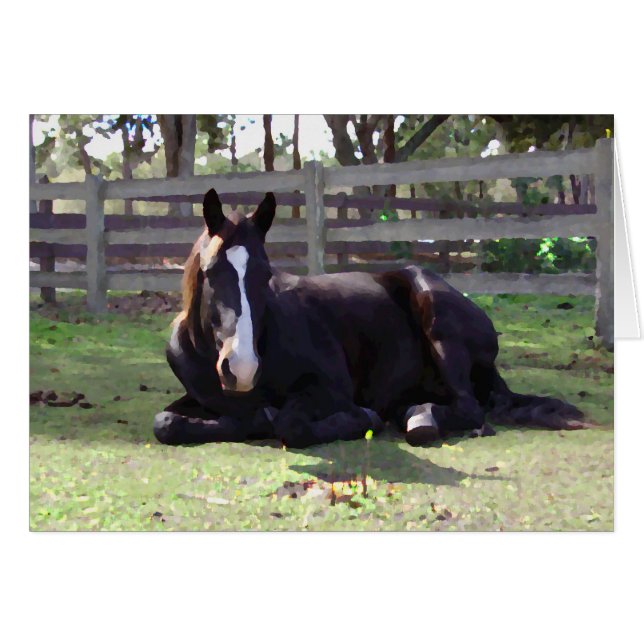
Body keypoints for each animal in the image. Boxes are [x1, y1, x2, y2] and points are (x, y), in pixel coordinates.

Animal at [153, 189, 585, 448]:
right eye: (211, 272)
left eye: (265, 273)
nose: (241, 367)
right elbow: (165, 423)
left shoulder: (329, 388)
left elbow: (291, 425)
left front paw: (359, 418)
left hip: (437, 316)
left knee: (469, 407)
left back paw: (418, 418)